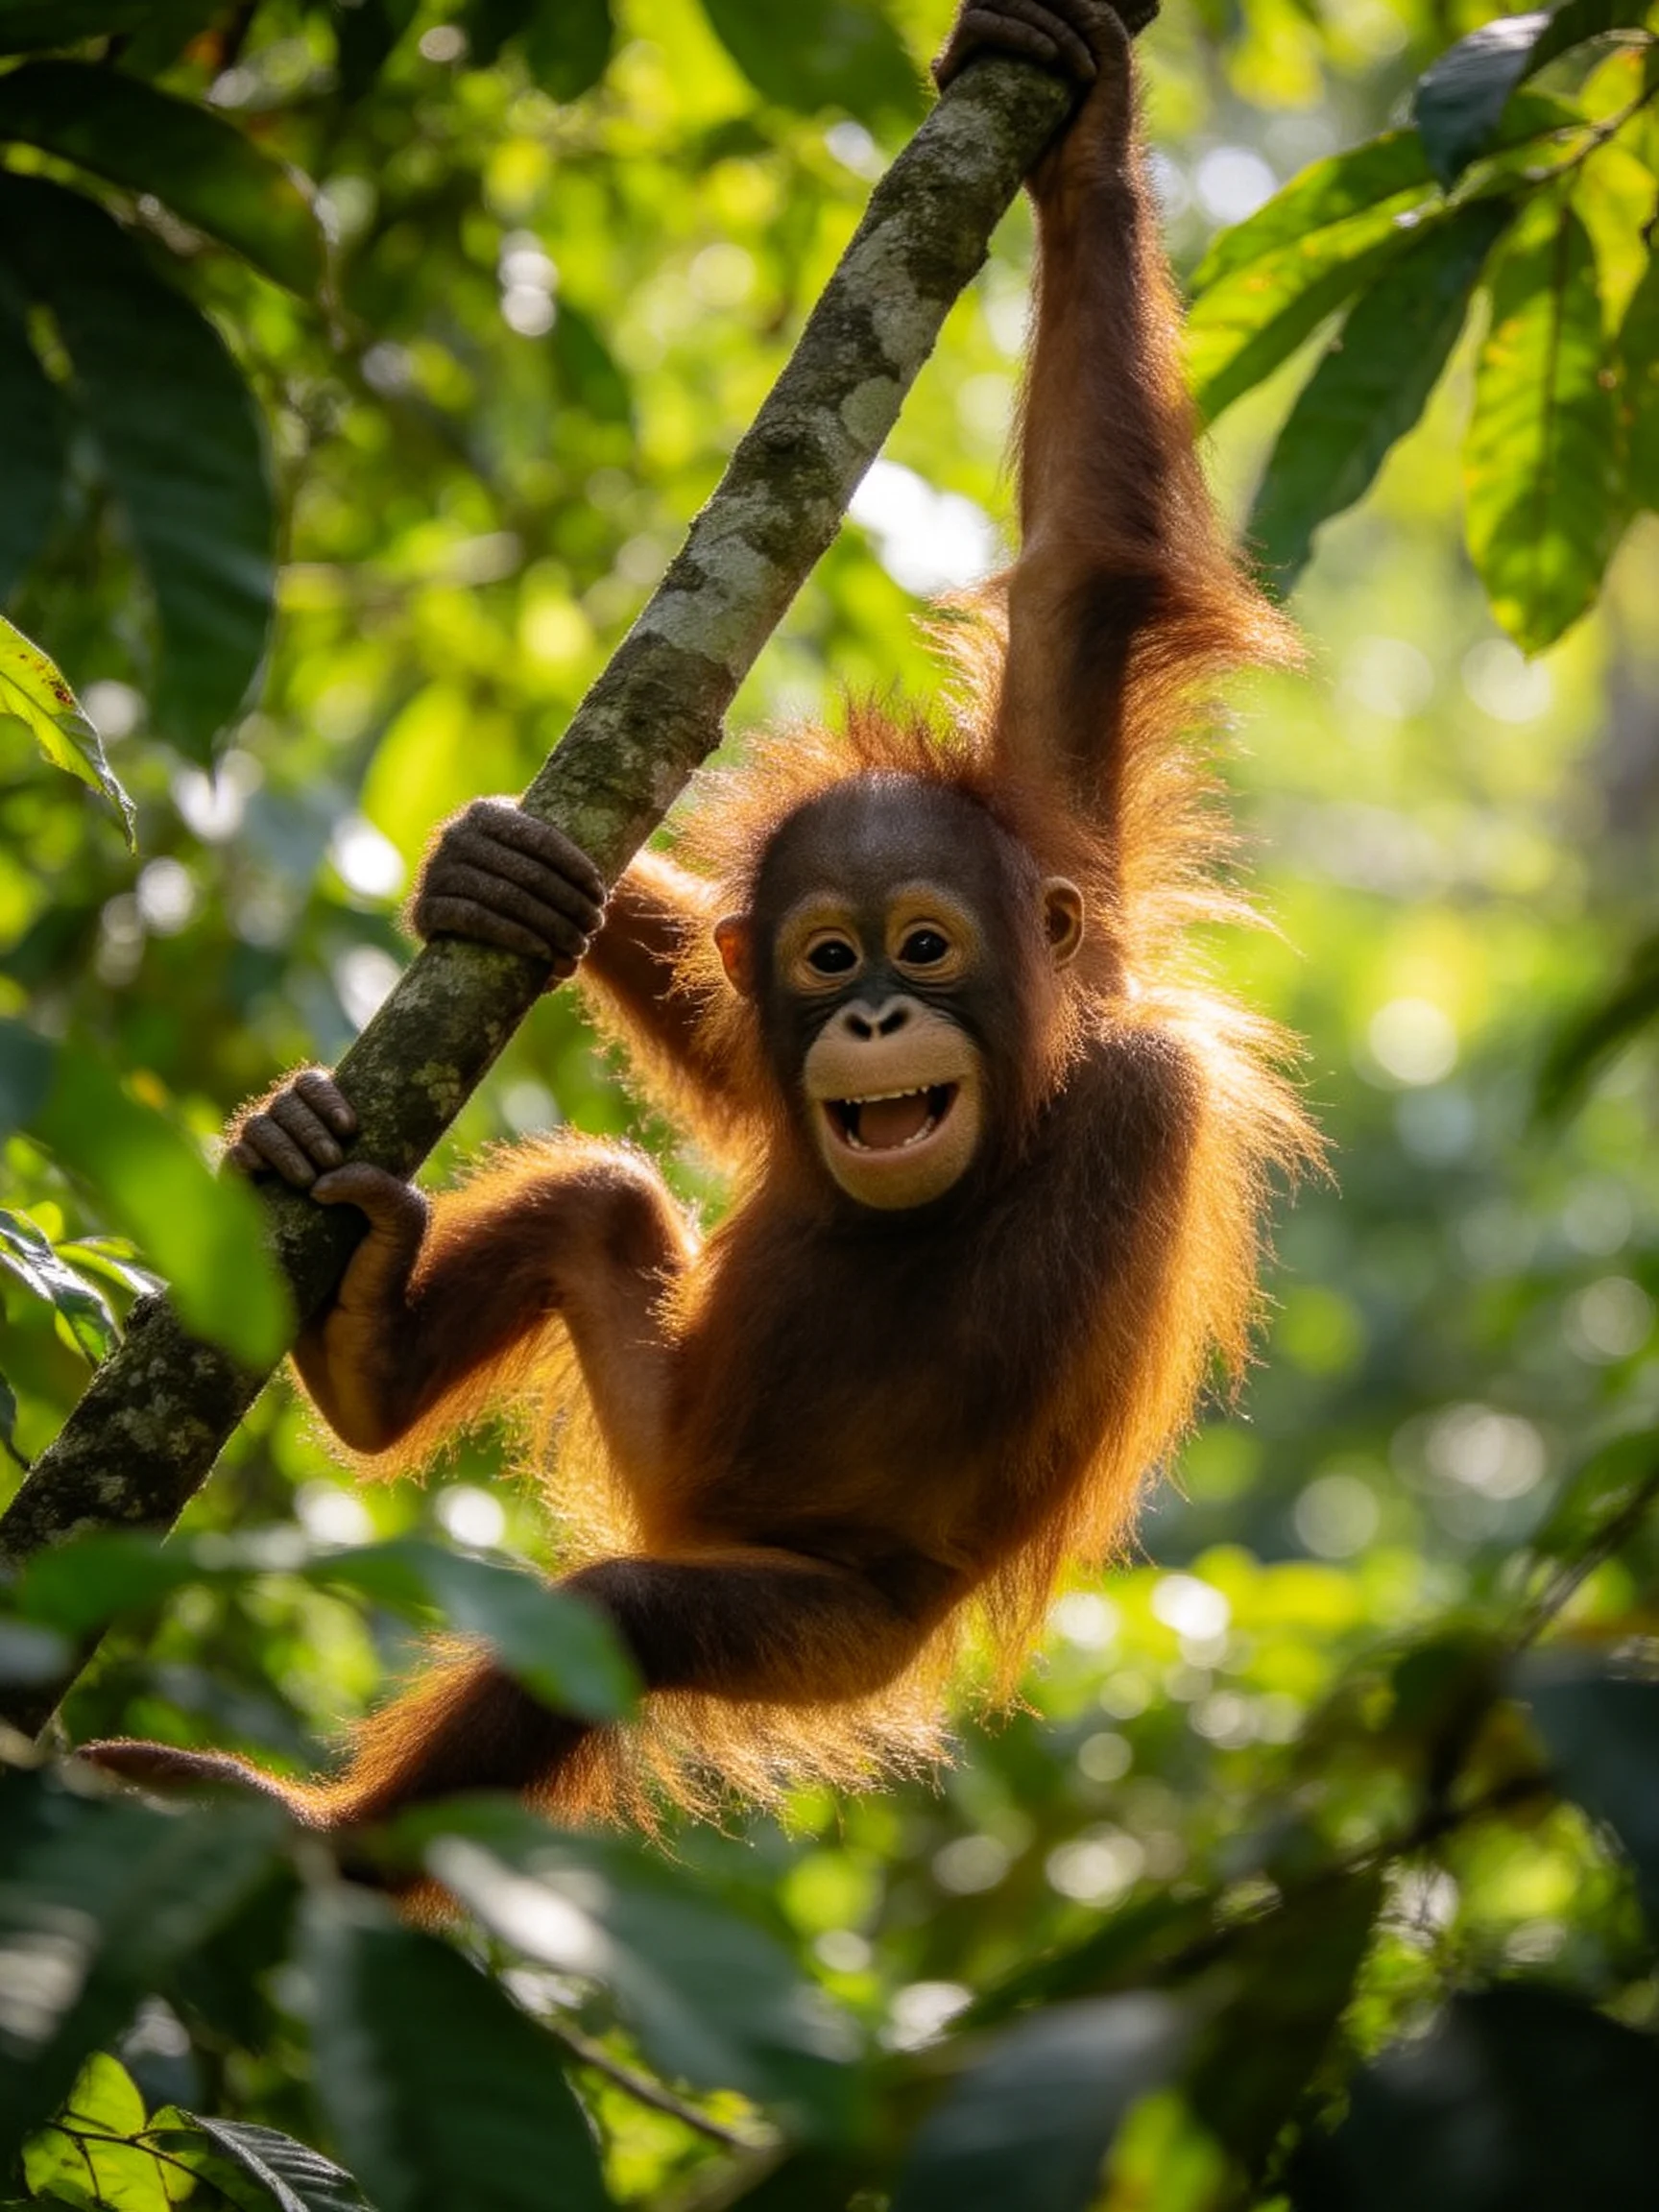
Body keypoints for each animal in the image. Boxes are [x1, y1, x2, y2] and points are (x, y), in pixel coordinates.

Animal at [83, 0, 1313, 1835]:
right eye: (828, 956)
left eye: (926, 944)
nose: (875, 1012)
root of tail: (681, 1495)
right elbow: (1075, 576)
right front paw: (506, 881)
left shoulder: (1100, 984)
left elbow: (1089, 578)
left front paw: (1084, 127)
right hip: (658, 1398)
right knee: (593, 1200)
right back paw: (366, 1356)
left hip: (822, 1625)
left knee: (623, 1617)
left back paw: (325, 1841)